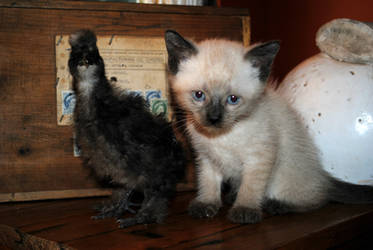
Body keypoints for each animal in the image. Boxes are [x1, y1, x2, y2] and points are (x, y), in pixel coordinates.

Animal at [164, 30, 372, 224]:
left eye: (233, 99)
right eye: (199, 95)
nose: (214, 118)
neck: (223, 136)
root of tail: (323, 175)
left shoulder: (259, 158)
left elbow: (250, 187)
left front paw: (245, 210)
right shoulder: (207, 158)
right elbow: (208, 183)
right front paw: (206, 204)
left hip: (285, 174)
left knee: (316, 199)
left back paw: (277, 204)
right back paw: (232, 197)